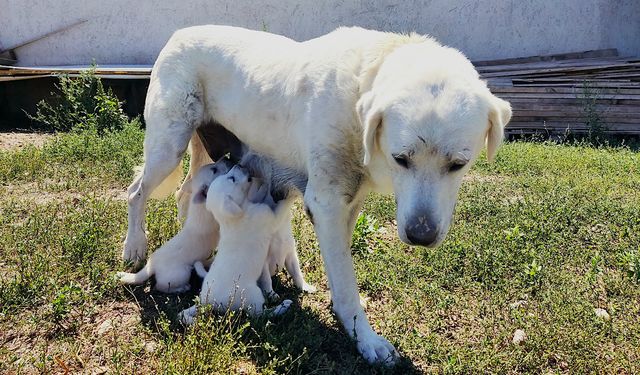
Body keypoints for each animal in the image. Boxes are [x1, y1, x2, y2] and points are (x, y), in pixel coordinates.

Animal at [116, 159, 234, 294]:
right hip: (181, 273)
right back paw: (182, 288)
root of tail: (151, 265)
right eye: (214, 170)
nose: (226, 159)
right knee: (161, 286)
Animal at [178, 166, 292, 324]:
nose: (239, 165)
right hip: (254, 296)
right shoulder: (272, 218)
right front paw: (290, 193)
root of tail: (207, 302)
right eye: (231, 178)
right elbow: (282, 207)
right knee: (261, 315)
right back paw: (282, 307)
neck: (229, 219)